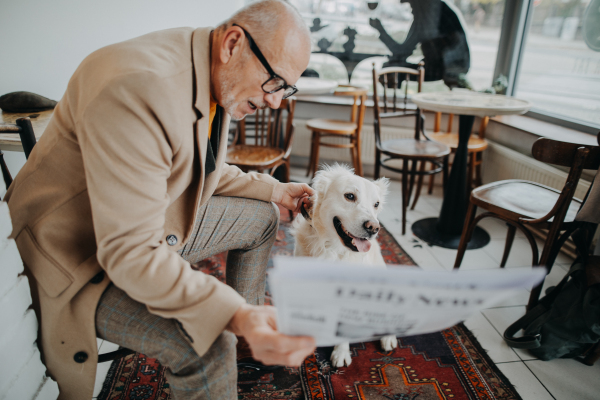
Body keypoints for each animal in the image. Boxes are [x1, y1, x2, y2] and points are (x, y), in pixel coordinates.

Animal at [292, 164, 398, 368]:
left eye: (376, 204)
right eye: (349, 196)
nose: (374, 228)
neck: (331, 250)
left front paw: (340, 353)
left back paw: (388, 337)